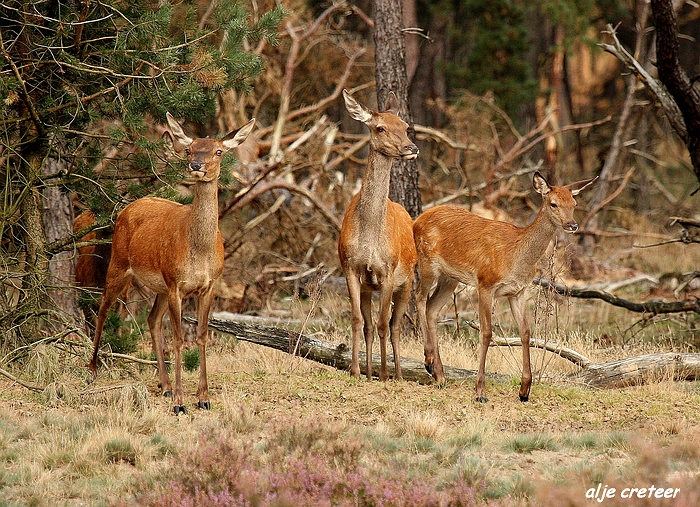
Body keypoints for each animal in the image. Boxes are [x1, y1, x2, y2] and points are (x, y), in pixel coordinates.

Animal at [87, 113, 256, 414]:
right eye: (189, 149)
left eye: (218, 151)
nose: (196, 165)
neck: (200, 252)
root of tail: (128, 207)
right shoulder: (177, 283)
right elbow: (178, 339)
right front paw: (180, 402)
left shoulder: (208, 285)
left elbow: (201, 335)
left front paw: (203, 398)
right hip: (119, 263)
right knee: (104, 307)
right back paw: (92, 370)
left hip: (161, 286)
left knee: (152, 320)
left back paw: (163, 385)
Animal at [340, 89, 422, 380]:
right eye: (380, 127)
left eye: (407, 126)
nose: (411, 148)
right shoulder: (350, 267)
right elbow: (357, 320)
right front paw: (355, 371)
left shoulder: (388, 270)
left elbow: (384, 324)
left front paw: (385, 374)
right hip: (369, 287)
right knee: (368, 325)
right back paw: (368, 370)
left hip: (407, 281)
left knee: (395, 326)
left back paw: (397, 373)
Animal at [412, 173, 600, 402]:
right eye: (553, 203)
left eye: (574, 203)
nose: (572, 225)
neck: (516, 257)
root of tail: (417, 220)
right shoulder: (485, 283)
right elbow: (486, 333)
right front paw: (480, 391)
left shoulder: (517, 292)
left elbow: (526, 332)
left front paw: (525, 390)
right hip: (427, 262)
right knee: (419, 297)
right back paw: (428, 359)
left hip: (451, 277)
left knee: (432, 308)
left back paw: (439, 375)